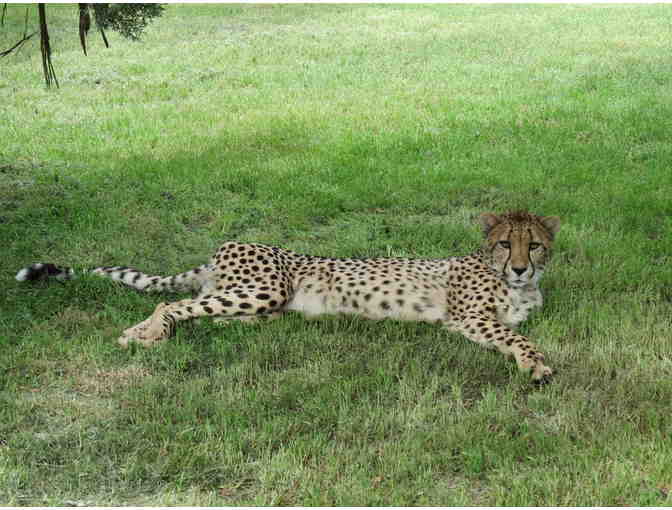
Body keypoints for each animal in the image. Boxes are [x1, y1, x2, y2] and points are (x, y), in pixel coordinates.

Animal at [16, 210, 561, 381]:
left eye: (533, 244)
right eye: (505, 243)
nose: (519, 265)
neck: (519, 284)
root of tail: (225, 247)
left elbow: (516, 331)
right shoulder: (467, 318)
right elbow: (519, 338)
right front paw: (535, 364)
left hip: (257, 297)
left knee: (207, 313)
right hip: (265, 286)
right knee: (171, 304)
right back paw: (145, 334)